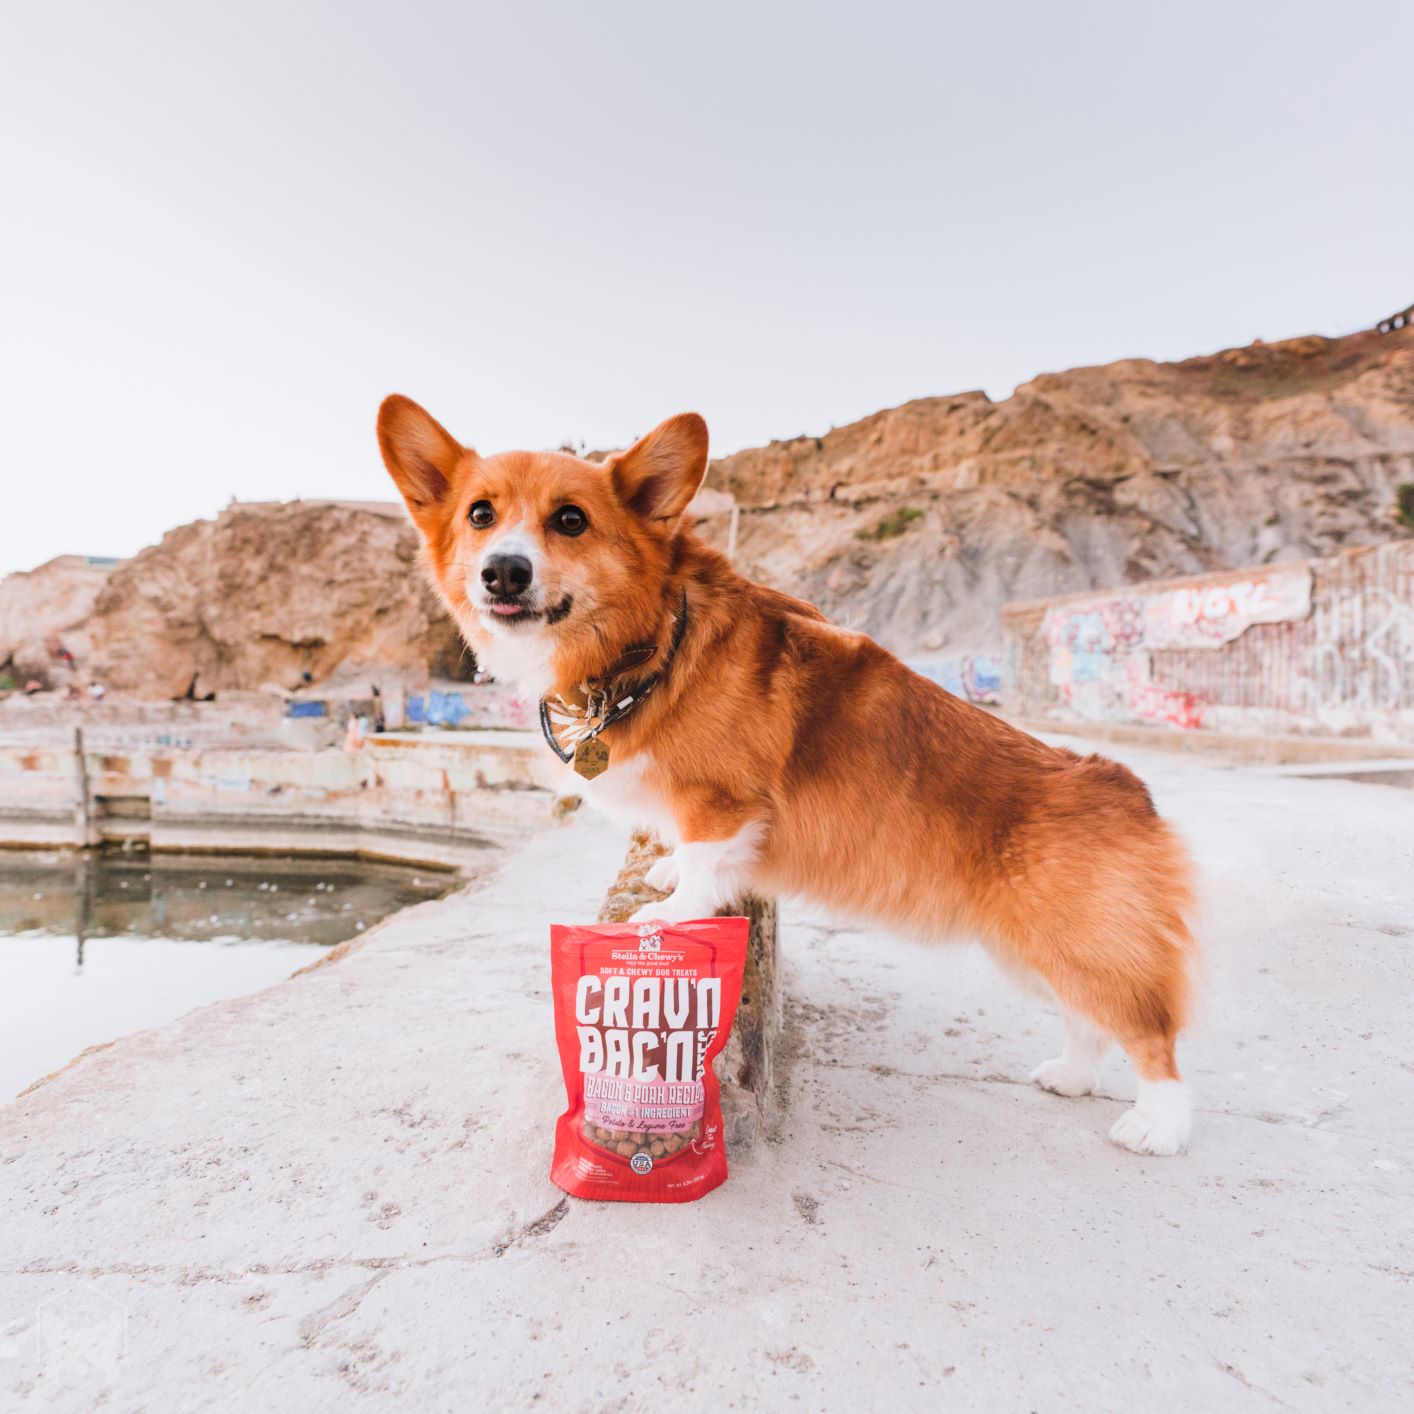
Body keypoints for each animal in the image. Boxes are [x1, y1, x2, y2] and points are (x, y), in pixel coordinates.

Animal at [381, 393, 1199, 1153]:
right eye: (481, 514)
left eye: (571, 520)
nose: (503, 572)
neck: (651, 645)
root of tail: (1127, 790)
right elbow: (684, 851)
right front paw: (664, 872)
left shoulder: (723, 802)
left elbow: (706, 869)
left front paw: (668, 913)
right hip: (1035, 949)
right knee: (1089, 1022)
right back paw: (1071, 1078)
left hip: (1080, 946)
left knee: (1149, 1035)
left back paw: (1156, 1126)